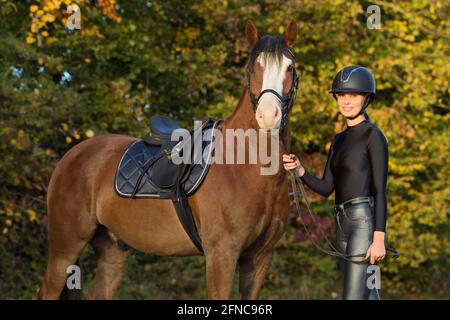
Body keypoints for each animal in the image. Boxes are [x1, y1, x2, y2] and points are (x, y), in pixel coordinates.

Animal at [37, 20, 298, 300]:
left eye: (290, 67)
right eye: (252, 68)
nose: (268, 117)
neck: (246, 166)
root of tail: (71, 156)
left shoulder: (260, 257)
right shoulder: (222, 254)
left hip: (113, 251)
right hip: (65, 246)